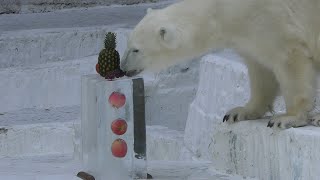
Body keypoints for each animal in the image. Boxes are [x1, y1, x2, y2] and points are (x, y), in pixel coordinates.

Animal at [120, 0, 320, 129]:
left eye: (136, 50)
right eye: (128, 43)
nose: (123, 68)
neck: (224, 10)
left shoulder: (273, 19)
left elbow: (289, 59)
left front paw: (287, 118)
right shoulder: (248, 33)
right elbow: (260, 68)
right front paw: (239, 112)